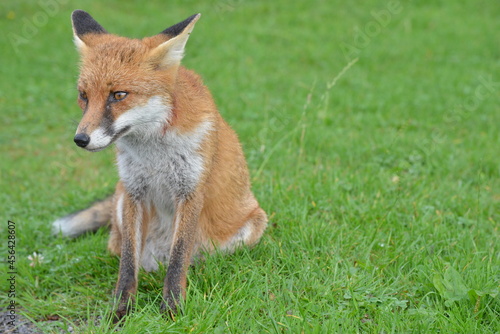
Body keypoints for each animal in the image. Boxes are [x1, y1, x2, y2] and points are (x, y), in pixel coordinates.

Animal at [52, 9, 268, 318]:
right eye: (84, 96)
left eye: (119, 95)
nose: (80, 139)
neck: (154, 155)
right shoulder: (135, 191)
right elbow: (128, 263)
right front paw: (122, 309)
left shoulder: (190, 192)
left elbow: (179, 258)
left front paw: (173, 309)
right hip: (121, 202)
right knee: (124, 252)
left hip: (251, 226)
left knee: (192, 259)